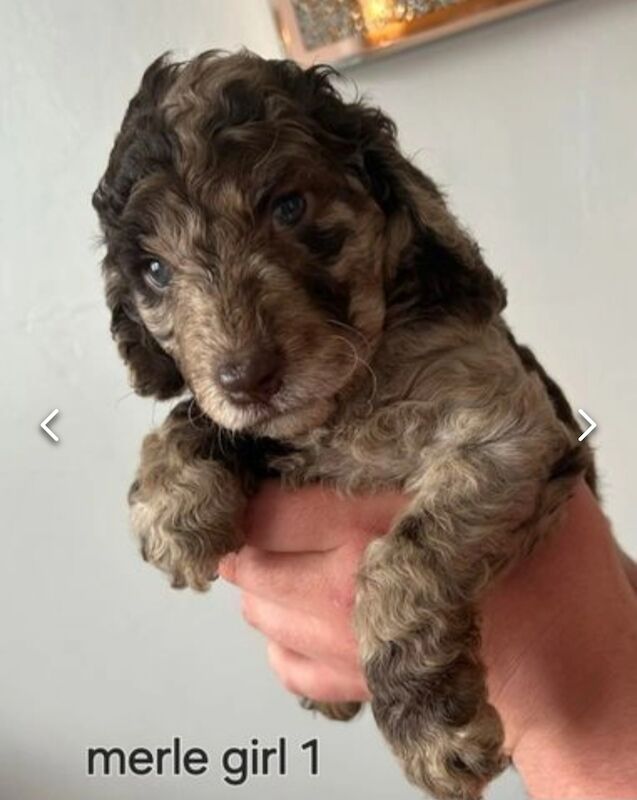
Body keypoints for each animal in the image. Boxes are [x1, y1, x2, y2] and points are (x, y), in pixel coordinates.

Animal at [94, 50, 596, 800]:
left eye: (289, 207)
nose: (246, 378)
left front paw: (429, 728)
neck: (348, 402)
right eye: (153, 270)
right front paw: (171, 507)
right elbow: (200, 417)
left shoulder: (507, 430)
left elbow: (402, 558)